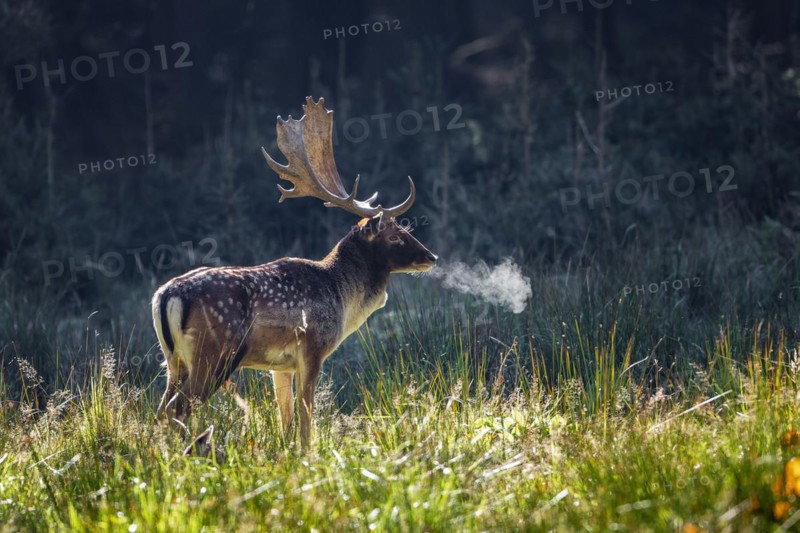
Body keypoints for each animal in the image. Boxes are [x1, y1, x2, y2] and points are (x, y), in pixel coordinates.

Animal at [151, 96, 437, 449]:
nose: (431, 257)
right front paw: (308, 453)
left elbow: (285, 417)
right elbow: (305, 415)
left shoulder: (279, 365)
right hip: (214, 352)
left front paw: (288, 452)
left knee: (163, 408)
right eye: (395, 234)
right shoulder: (312, 347)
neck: (342, 297)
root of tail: (167, 295)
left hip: (173, 359)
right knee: (179, 407)